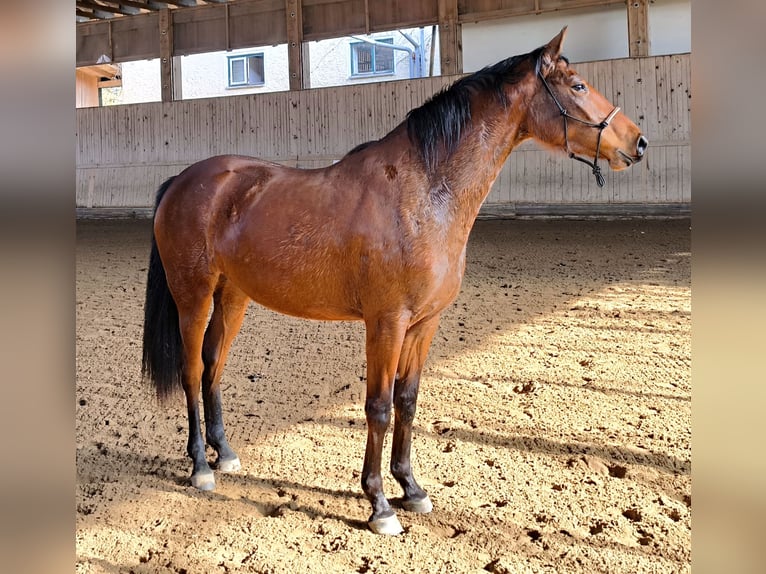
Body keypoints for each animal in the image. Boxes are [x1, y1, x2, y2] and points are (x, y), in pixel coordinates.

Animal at [142, 27, 647, 535]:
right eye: (578, 86)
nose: (639, 142)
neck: (424, 193)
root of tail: (182, 182)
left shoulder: (424, 324)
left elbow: (407, 400)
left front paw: (412, 489)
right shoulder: (386, 323)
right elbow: (379, 408)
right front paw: (379, 504)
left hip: (233, 297)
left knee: (214, 366)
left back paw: (224, 454)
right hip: (193, 297)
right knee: (192, 370)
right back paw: (200, 467)